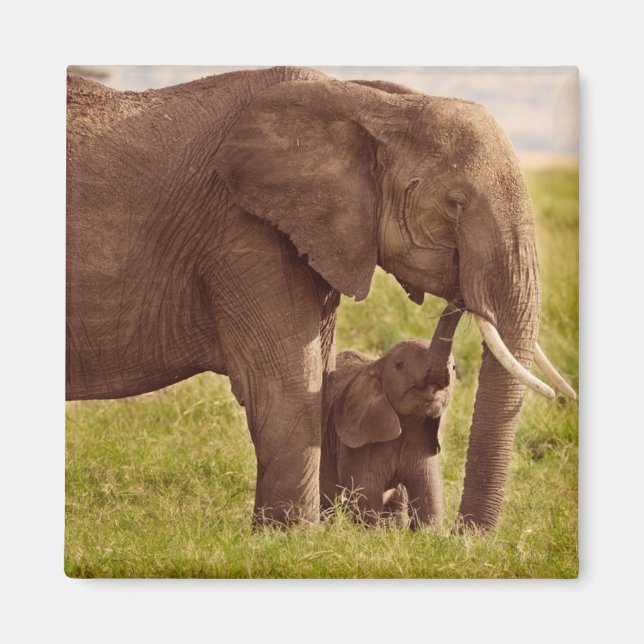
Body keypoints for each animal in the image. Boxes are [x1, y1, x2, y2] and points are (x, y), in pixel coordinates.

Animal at [320, 305, 461, 528]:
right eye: (399, 365)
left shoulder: (424, 441)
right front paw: (372, 531)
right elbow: (366, 496)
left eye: (454, 368)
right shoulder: (357, 444)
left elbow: (429, 498)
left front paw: (429, 532)